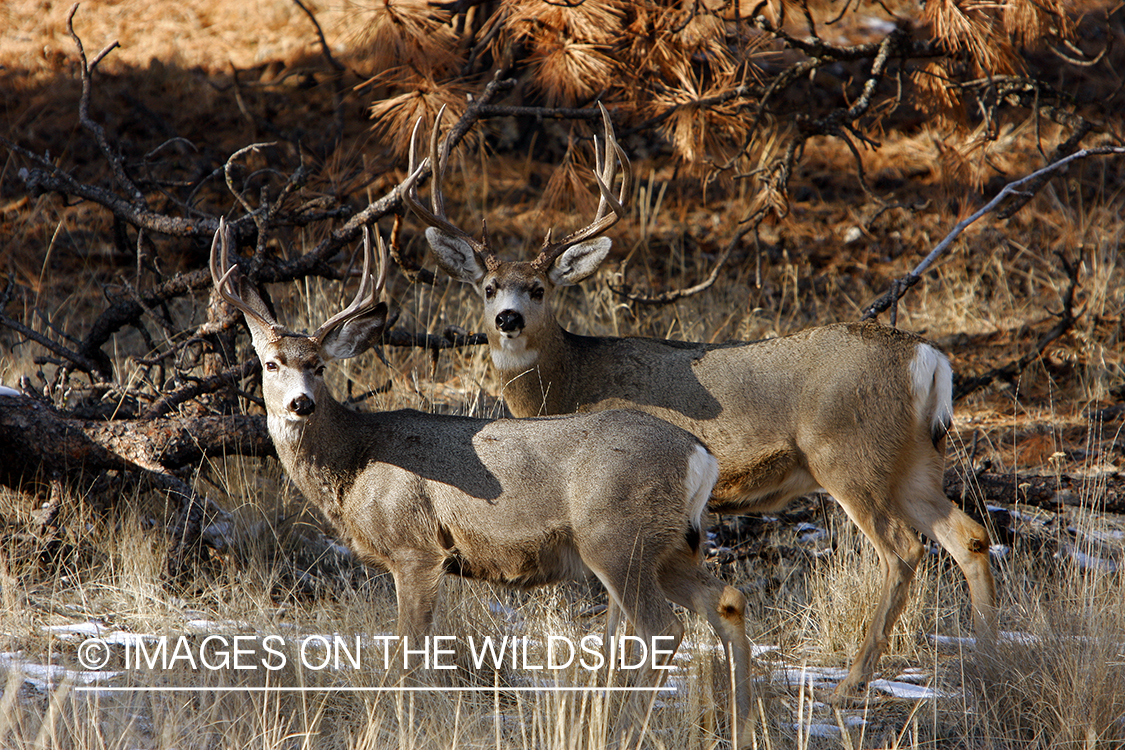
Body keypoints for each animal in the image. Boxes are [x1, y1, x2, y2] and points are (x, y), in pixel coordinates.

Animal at [209, 221, 754, 736]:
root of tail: (700, 455)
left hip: (617, 537)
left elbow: (408, 654)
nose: (301, 403)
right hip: (671, 546)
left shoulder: (416, 549)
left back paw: (623, 728)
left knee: (664, 628)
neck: (355, 464)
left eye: (319, 366)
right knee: (725, 600)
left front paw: (391, 724)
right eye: (270, 363)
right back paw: (743, 727)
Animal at [401, 104, 997, 699]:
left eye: (540, 288)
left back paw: (850, 683)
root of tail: (927, 357)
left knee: (904, 550)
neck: (571, 380)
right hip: (916, 458)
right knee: (967, 535)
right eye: (488, 287)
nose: (508, 319)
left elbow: (619, 608)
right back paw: (990, 658)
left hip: (851, 454)